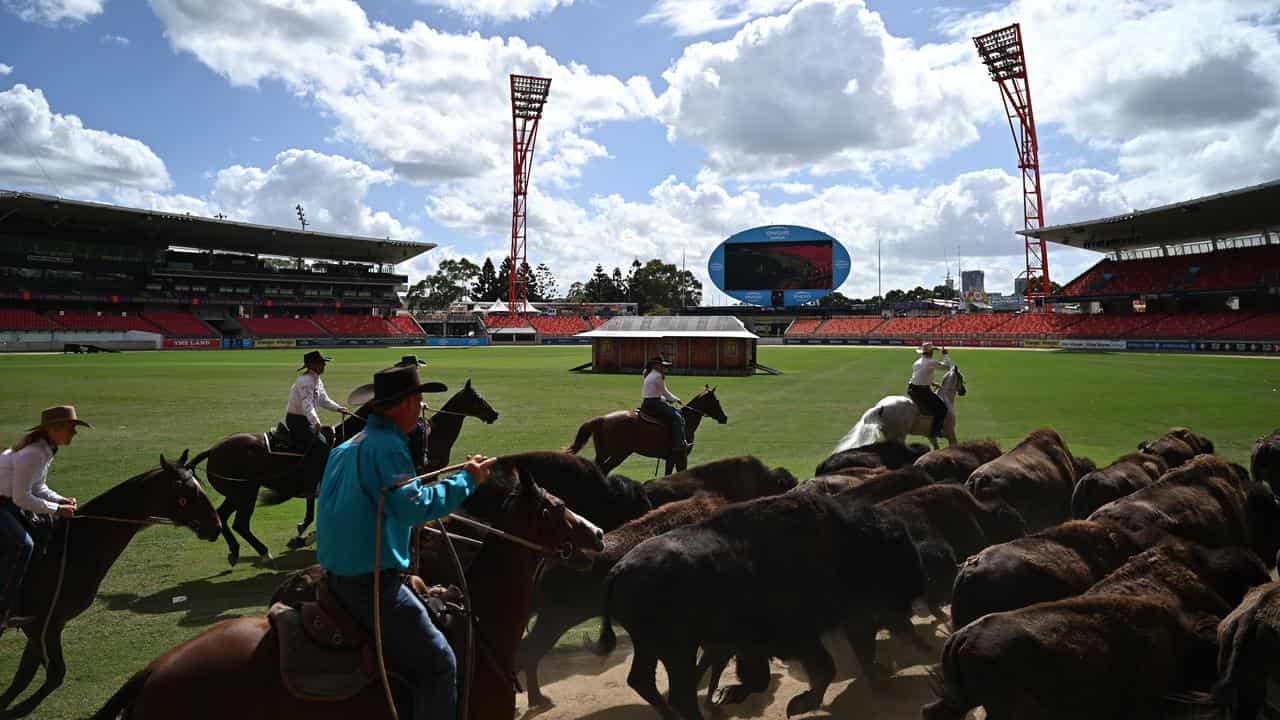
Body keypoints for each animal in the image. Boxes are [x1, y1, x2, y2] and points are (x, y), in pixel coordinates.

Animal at [0, 450, 218, 712]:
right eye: (186, 494)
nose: (216, 527)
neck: (66, 550)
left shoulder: (44, 625)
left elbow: (26, 677)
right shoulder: (41, 625)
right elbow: (50, 676)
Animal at [570, 384, 732, 474]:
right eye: (716, 401)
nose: (724, 418)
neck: (686, 421)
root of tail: (603, 419)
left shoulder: (670, 458)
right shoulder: (681, 457)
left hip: (604, 453)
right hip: (618, 454)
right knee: (604, 470)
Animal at [834, 363, 962, 448]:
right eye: (961, 377)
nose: (963, 391)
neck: (945, 399)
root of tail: (881, 406)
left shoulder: (931, 436)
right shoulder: (951, 433)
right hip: (899, 436)